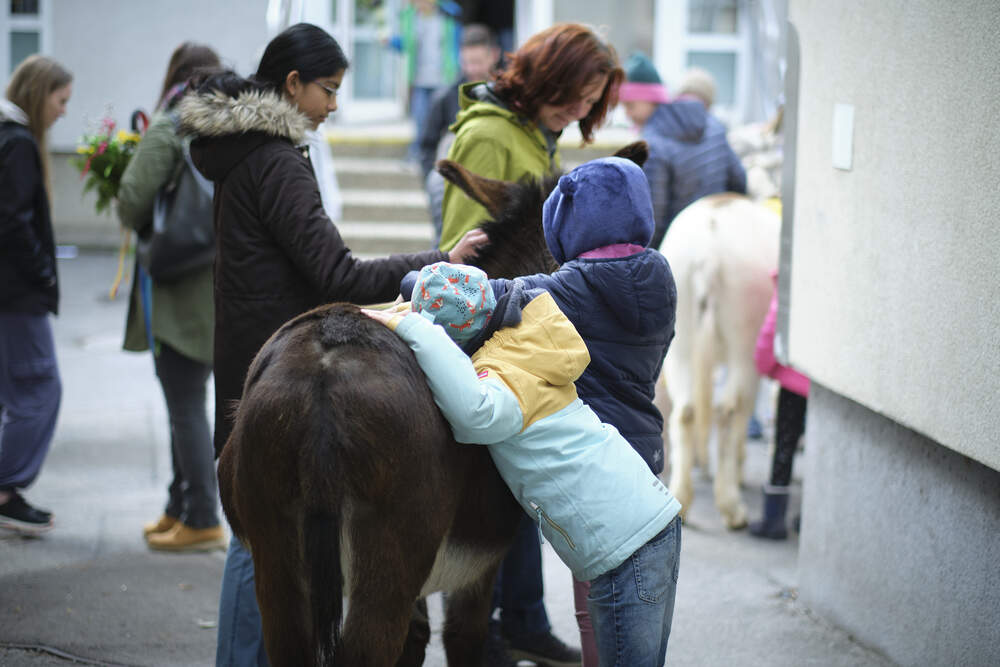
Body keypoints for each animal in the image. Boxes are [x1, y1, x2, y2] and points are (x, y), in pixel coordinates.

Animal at [216, 142, 648, 666]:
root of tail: (324, 377)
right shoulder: (477, 567)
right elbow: (462, 639)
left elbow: (416, 642)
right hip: (389, 556)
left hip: (276, 549)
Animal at [655, 193, 780, 529]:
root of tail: (708, 250)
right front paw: (739, 464)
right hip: (744, 341)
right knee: (727, 411)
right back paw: (731, 506)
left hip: (680, 338)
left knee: (686, 411)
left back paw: (683, 499)